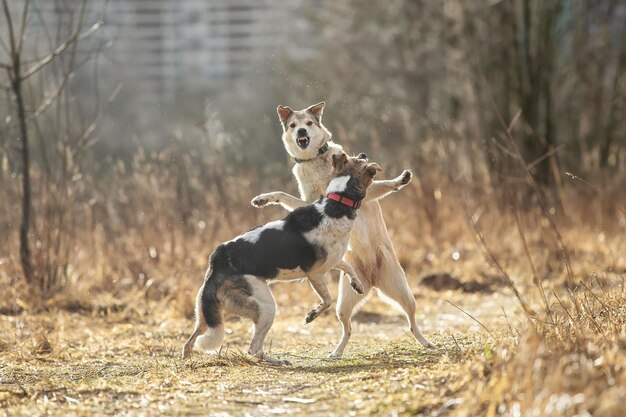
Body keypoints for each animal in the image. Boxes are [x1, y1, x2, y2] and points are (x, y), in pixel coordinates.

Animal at [180, 151, 380, 362]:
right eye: (361, 161)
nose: (364, 153)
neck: (337, 202)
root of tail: (216, 263)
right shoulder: (316, 274)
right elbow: (327, 301)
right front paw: (312, 314)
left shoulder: (332, 261)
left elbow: (348, 267)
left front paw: (357, 284)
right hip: (266, 306)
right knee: (254, 349)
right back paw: (278, 361)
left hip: (206, 314)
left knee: (189, 342)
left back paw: (187, 359)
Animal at [251, 102, 432, 356]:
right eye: (293, 125)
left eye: (309, 123)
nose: (302, 132)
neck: (316, 162)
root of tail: (372, 278)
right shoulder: (310, 201)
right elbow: (283, 196)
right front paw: (263, 199)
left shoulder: (366, 193)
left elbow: (384, 185)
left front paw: (401, 179)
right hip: (344, 303)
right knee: (348, 329)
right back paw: (336, 351)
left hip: (404, 293)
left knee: (412, 321)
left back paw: (425, 342)